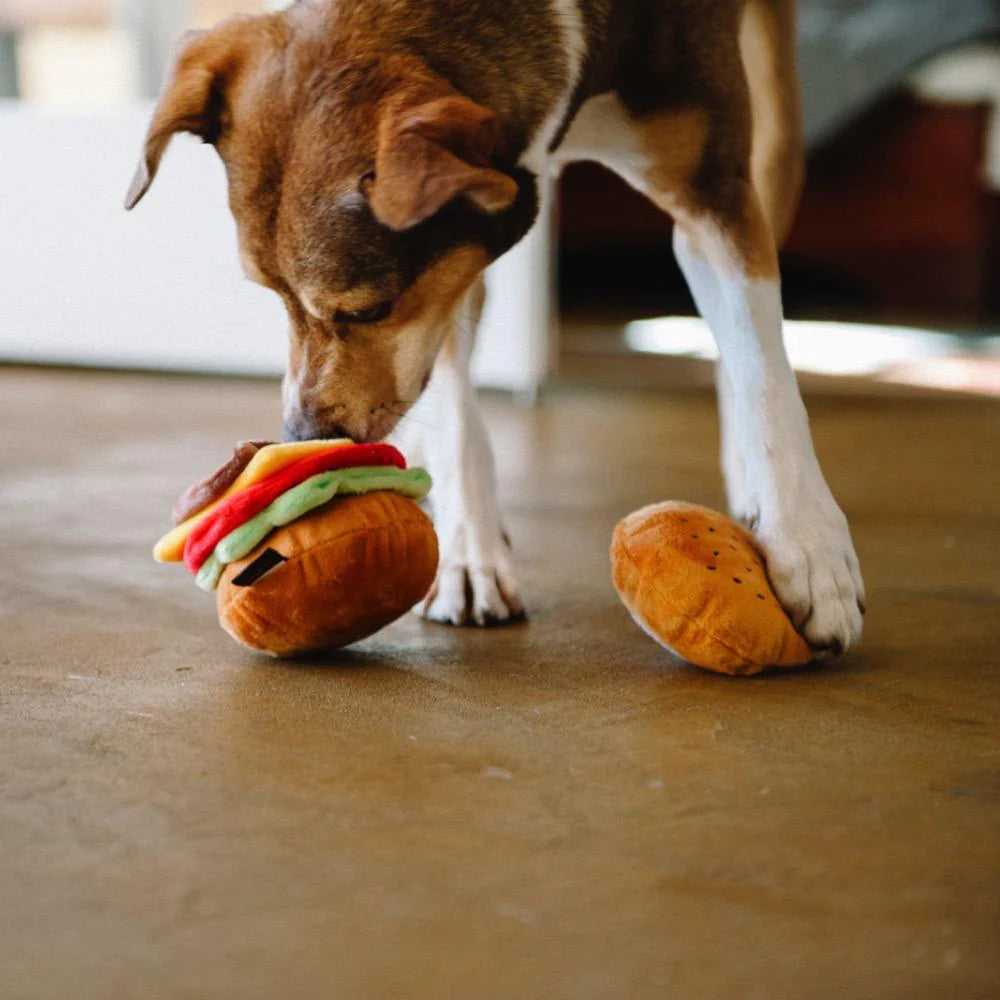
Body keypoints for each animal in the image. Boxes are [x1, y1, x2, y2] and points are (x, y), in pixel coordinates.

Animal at [123, 0, 860, 648]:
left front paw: (809, 547)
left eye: (366, 310)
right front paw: (469, 553)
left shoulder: (714, 195)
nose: (303, 435)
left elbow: (764, 370)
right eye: (269, 292)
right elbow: (454, 409)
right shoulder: (450, 264)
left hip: (774, 122)